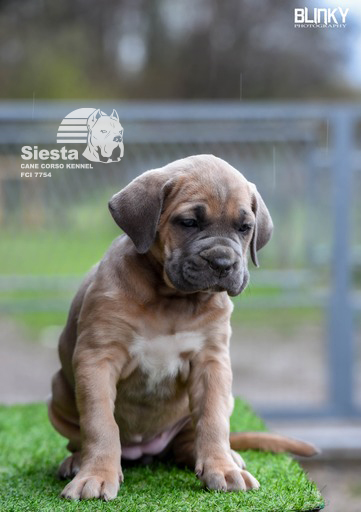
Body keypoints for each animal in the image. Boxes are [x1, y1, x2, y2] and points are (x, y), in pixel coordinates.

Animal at [47, 155, 316, 500]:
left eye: (244, 228)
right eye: (188, 223)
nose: (222, 263)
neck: (170, 300)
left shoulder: (212, 362)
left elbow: (213, 420)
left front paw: (222, 469)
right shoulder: (97, 359)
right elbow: (100, 421)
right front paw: (96, 475)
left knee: (192, 438)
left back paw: (228, 457)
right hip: (58, 392)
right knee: (80, 437)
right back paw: (77, 460)